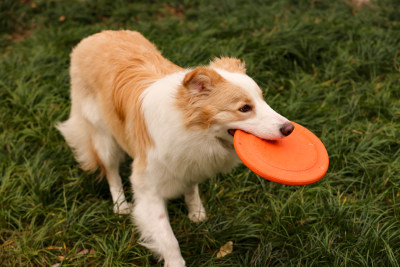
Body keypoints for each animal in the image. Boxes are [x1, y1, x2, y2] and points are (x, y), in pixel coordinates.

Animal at [57, 30, 294, 266]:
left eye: (263, 100)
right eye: (244, 108)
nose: (290, 128)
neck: (193, 129)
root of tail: (98, 35)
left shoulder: (189, 162)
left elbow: (191, 188)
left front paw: (196, 213)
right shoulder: (147, 188)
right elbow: (168, 238)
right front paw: (175, 261)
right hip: (103, 138)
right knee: (111, 172)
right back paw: (120, 206)